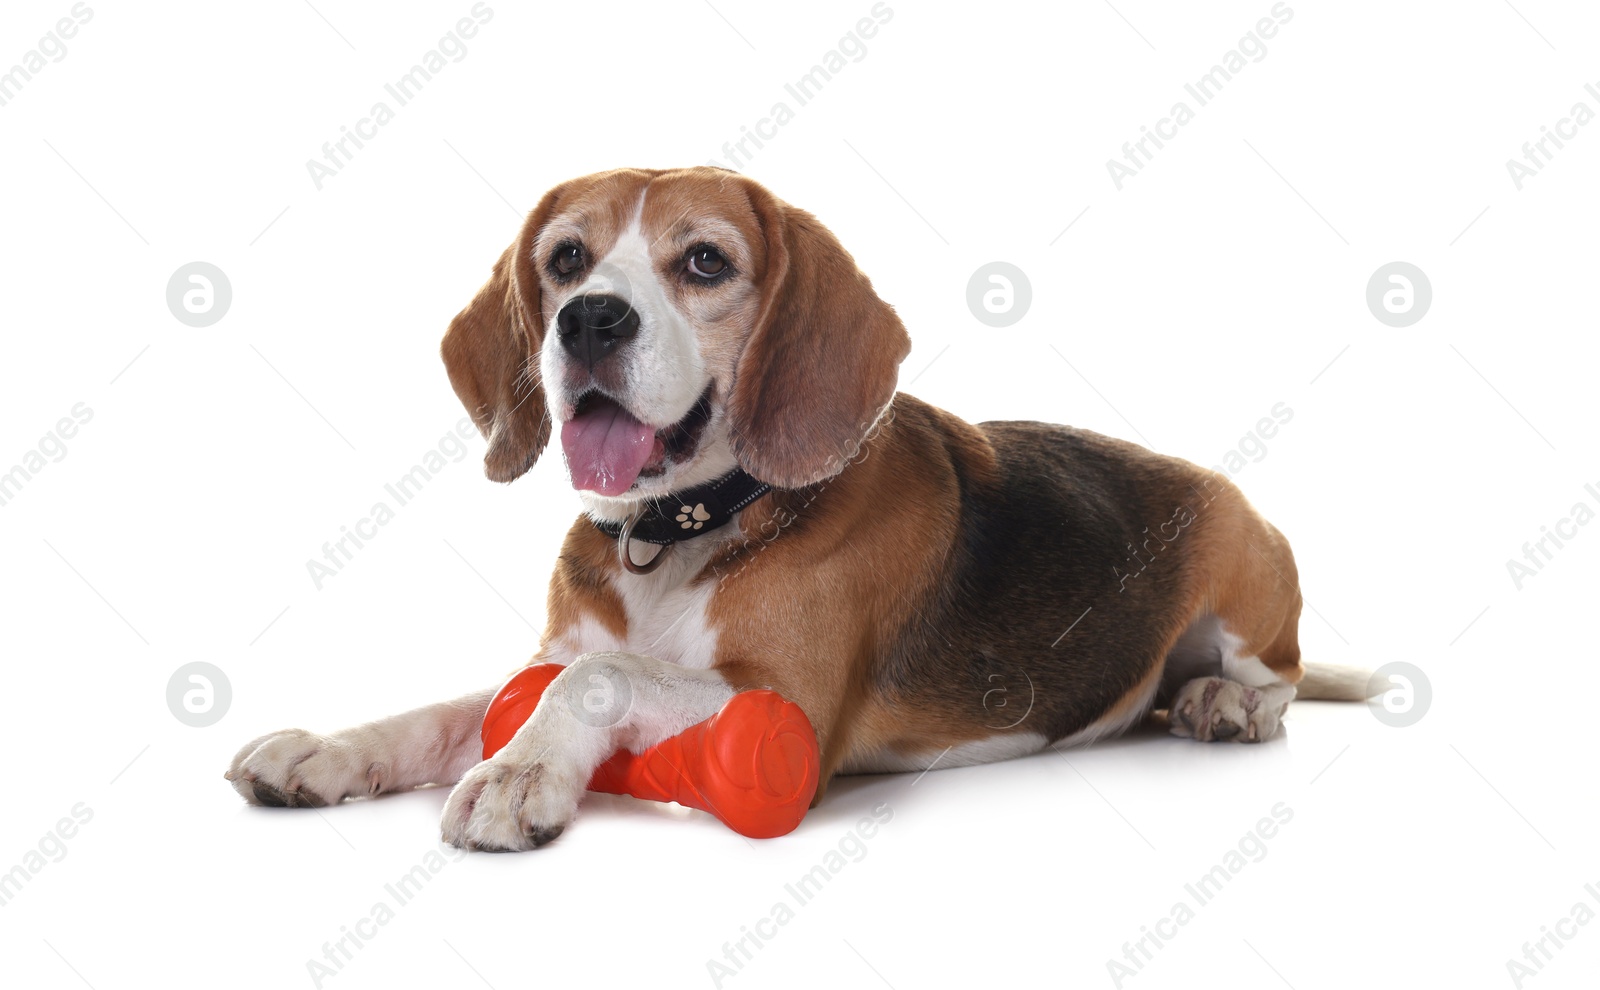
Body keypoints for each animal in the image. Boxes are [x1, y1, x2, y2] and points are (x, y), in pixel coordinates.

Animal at [228, 166, 1376, 850]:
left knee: (1273, 679)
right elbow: (448, 709)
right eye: (565, 259)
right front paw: (326, 750)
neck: (678, 536)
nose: (588, 318)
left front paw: (520, 777)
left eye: (704, 262)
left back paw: (1222, 704)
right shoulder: (543, 658)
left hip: (1245, 564)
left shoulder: (792, 703)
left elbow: (597, 680)